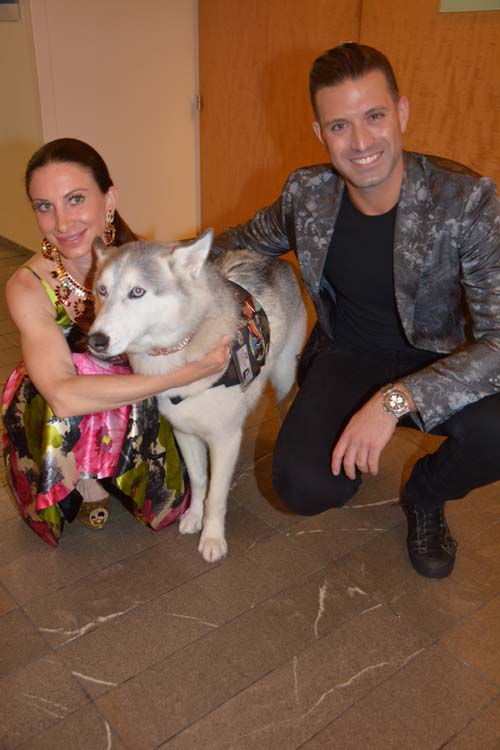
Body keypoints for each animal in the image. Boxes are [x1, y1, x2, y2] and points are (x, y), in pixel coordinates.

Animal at [89, 232, 306, 560]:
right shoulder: (184, 433)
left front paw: (213, 538)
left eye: (137, 292)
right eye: (102, 290)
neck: (177, 352)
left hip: (283, 377)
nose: (96, 341)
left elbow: (216, 495)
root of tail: (271, 259)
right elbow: (200, 480)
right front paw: (194, 517)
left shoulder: (225, 440)